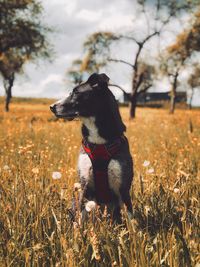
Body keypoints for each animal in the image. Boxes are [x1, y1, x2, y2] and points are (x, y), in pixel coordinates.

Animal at [50, 73, 134, 224]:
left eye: (76, 92)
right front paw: (78, 230)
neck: (99, 143)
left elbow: (130, 219)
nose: (51, 107)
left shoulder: (123, 188)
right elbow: (80, 217)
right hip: (76, 200)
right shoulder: (85, 184)